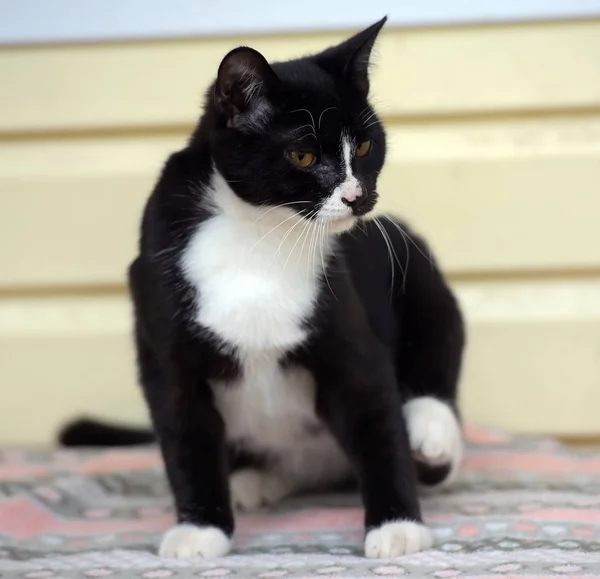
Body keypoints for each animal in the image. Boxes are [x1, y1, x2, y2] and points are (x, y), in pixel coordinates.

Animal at [59, 18, 464, 560]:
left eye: (363, 148)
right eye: (303, 154)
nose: (357, 197)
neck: (264, 234)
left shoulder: (348, 332)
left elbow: (375, 412)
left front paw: (398, 525)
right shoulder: (162, 333)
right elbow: (184, 434)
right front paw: (200, 529)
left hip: (415, 263)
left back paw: (431, 433)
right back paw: (252, 481)